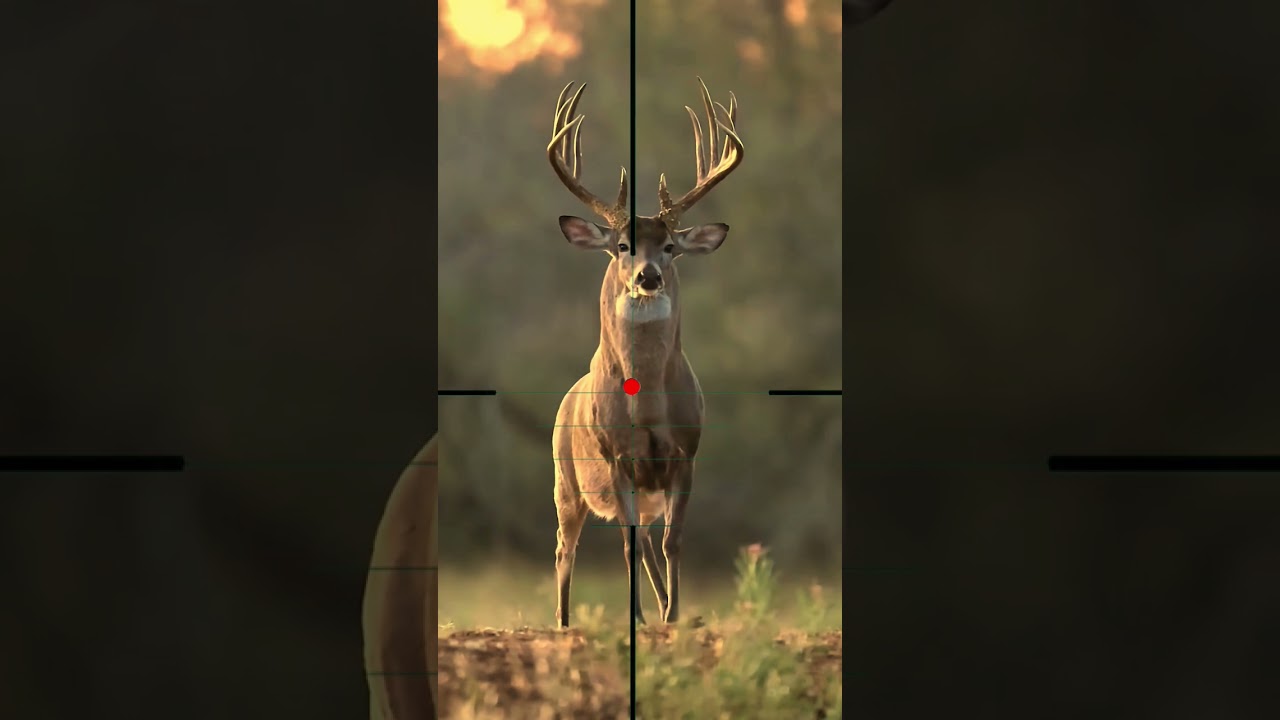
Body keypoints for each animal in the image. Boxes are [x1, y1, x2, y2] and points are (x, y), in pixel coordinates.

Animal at [547, 77, 743, 627]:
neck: (650, 401)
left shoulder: (686, 454)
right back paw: (563, 622)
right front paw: (635, 619)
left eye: (671, 246)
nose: (648, 276)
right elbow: (628, 545)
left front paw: (673, 616)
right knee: (565, 547)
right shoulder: (618, 457)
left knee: (651, 541)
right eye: (620, 246)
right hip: (565, 480)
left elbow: (673, 543)